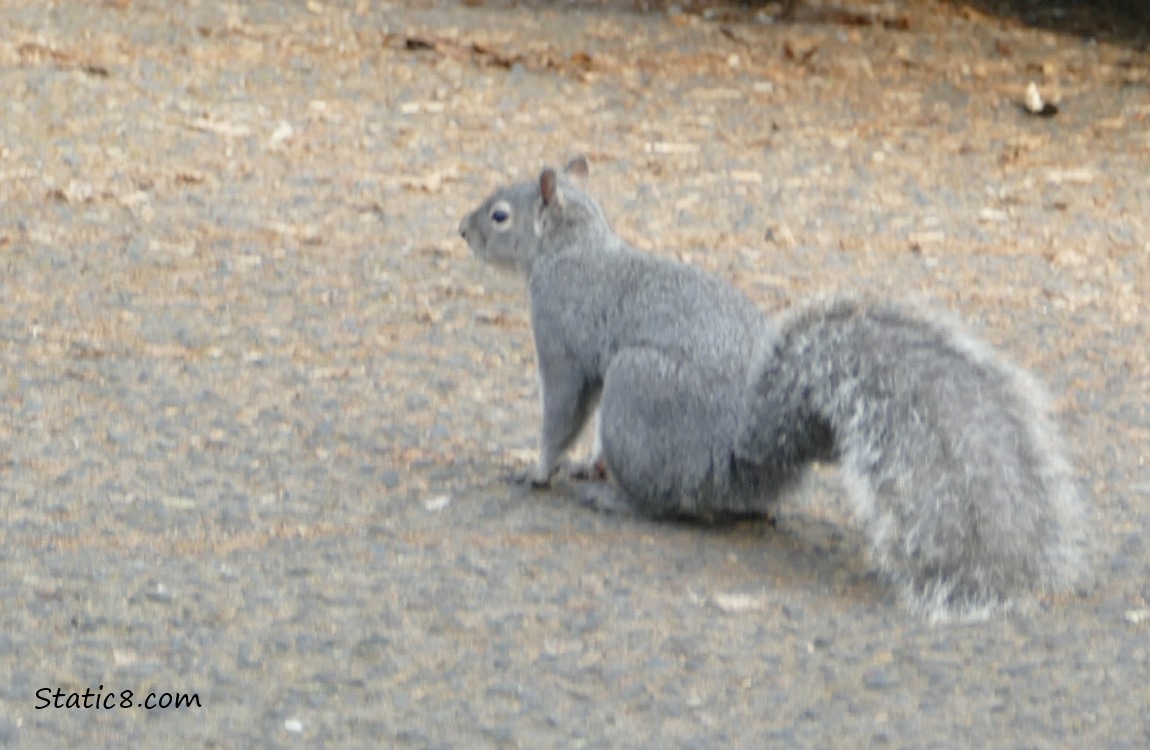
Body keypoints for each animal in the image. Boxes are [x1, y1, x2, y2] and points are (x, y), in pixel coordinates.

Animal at [458, 157, 1089, 621]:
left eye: (499, 215)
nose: (462, 229)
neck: (574, 246)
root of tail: (743, 446)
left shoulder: (560, 337)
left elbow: (561, 413)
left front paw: (537, 469)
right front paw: (584, 461)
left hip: (638, 386)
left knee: (664, 502)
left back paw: (614, 497)